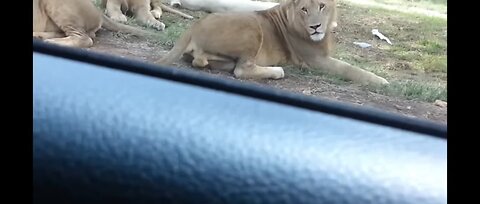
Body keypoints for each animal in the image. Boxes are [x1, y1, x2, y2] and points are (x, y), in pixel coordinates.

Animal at [156, 0, 388, 85]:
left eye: (322, 6)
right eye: (304, 9)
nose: (315, 27)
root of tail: (193, 26)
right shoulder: (315, 59)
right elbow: (350, 69)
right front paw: (381, 80)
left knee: (201, 61)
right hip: (252, 26)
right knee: (242, 69)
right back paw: (277, 71)